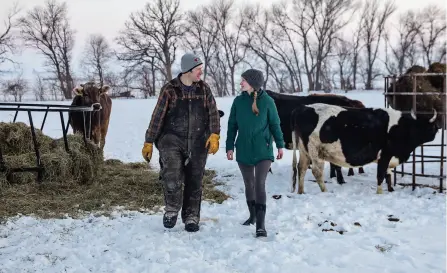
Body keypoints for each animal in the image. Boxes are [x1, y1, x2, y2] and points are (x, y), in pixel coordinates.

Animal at [290, 102, 440, 193]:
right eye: (431, 127)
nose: (434, 134)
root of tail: (303, 108)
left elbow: (389, 175)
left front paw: (391, 190)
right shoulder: (385, 155)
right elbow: (381, 175)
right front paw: (380, 193)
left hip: (304, 151)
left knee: (301, 168)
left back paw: (301, 191)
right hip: (314, 150)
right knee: (316, 171)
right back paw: (324, 191)